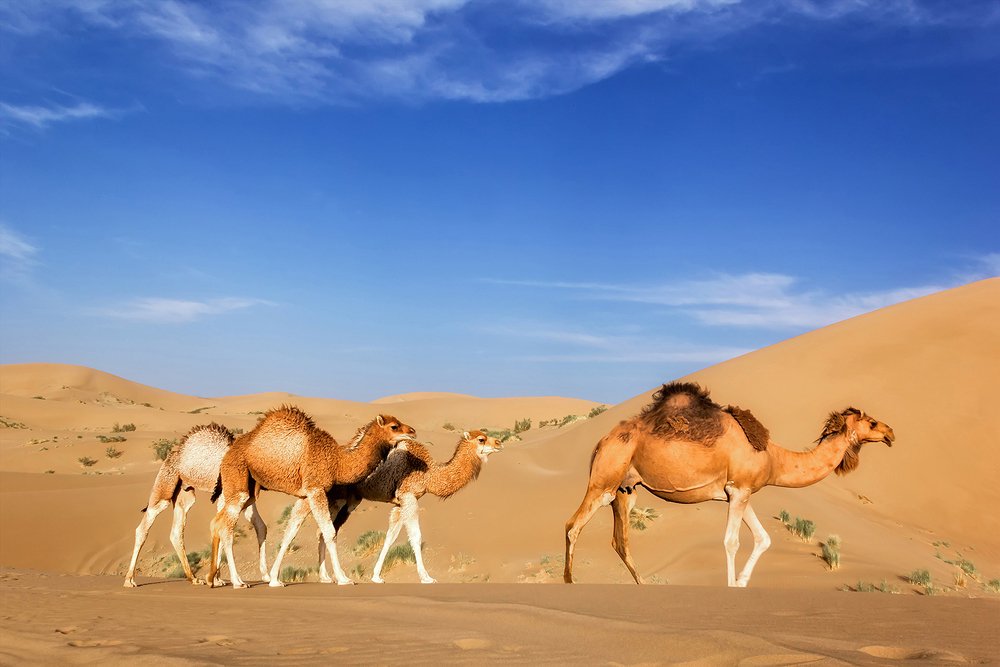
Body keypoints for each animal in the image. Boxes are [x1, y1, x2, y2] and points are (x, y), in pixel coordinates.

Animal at [123, 423, 269, 588]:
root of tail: (173, 454)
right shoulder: (228, 497)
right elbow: (224, 528)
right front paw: (222, 579)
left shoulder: (245, 498)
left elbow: (260, 526)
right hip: (164, 485)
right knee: (144, 527)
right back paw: (129, 580)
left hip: (184, 494)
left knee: (176, 531)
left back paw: (193, 578)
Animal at [207, 407, 416, 589]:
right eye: (394, 426)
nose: (413, 431)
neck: (336, 461)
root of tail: (227, 454)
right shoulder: (316, 489)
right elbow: (329, 532)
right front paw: (343, 578)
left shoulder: (306, 495)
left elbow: (290, 532)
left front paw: (275, 579)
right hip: (238, 477)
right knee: (226, 525)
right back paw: (237, 582)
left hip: (250, 488)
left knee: (217, 521)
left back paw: (212, 579)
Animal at [301, 429, 503, 584]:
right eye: (481, 439)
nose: (499, 443)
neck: (429, 474)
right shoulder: (409, 496)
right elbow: (416, 536)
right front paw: (426, 577)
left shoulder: (399, 504)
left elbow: (390, 537)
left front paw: (376, 576)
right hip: (337, 495)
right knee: (322, 527)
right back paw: (331, 576)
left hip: (352, 499)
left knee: (325, 530)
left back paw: (326, 576)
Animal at [564, 382, 895, 587]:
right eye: (872, 423)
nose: (891, 432)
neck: (772, 457)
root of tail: (601, 441)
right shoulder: (739, 490)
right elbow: (731, 541)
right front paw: (731, 585)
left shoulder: (739, 492)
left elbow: (763, 538)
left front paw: (741, 582)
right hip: (605, 477)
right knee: (573, 525)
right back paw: (570, 581)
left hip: (626, 487)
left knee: (620, 540)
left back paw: (642, 584)